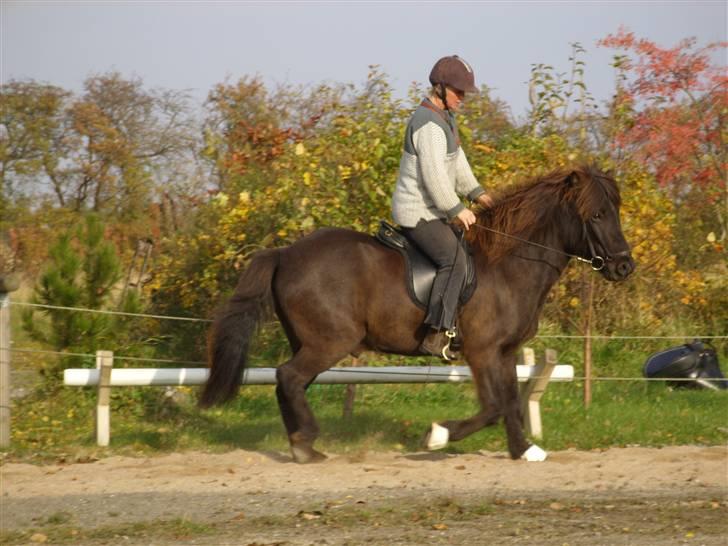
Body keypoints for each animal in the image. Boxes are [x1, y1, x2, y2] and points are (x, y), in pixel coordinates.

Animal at [200, 164, 636, 462]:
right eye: (597, 215)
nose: (624, 267)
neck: (508, 263)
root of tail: (285, 253)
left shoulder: (504, 352)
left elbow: (511, 403)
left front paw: (523, 450)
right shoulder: (481, 351)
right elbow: (494, 407)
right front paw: (438, 435)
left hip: (308, 341)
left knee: (288, 382)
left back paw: (300, 441)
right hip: (330, 341)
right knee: (289, 377)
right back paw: (306, 445)